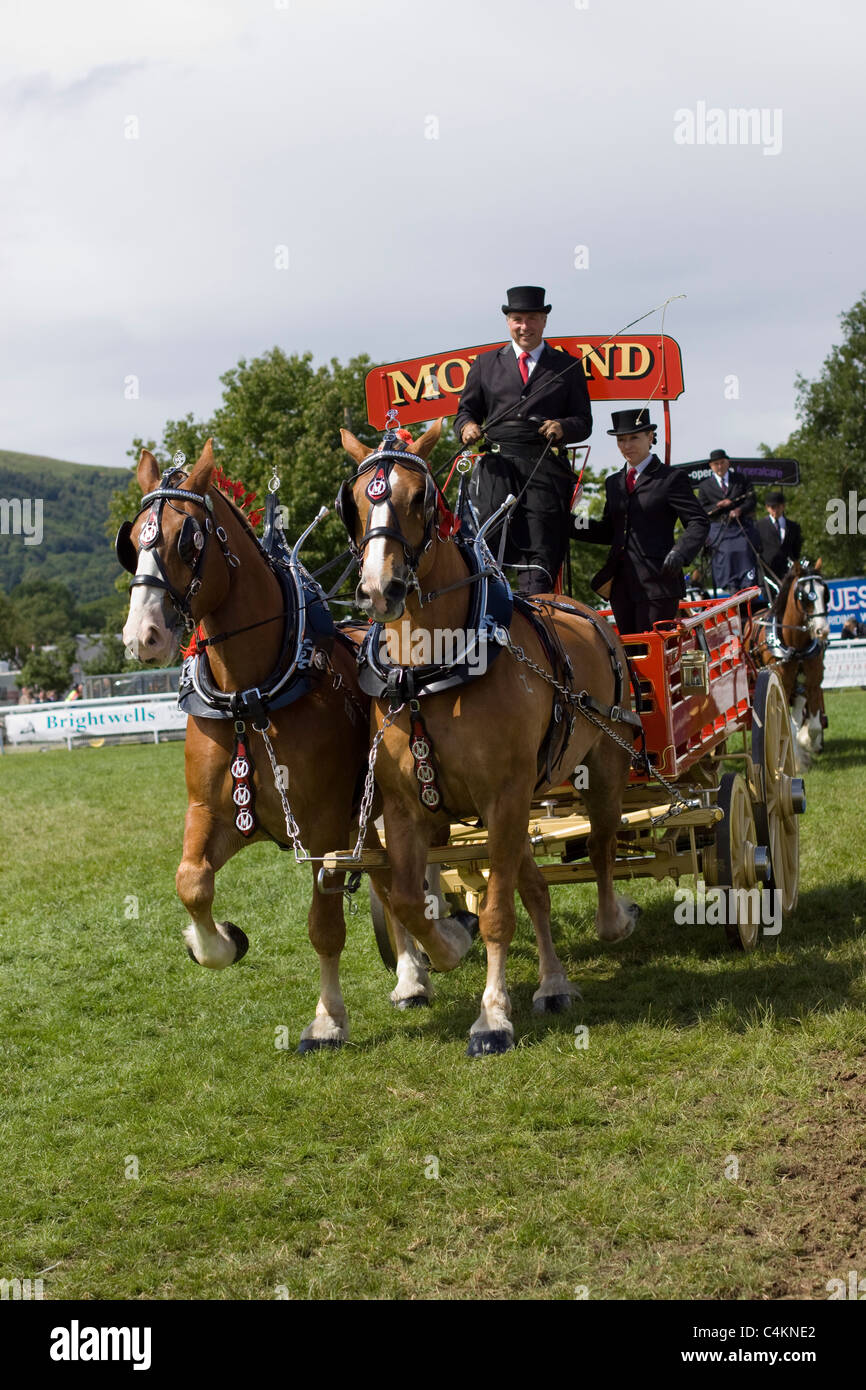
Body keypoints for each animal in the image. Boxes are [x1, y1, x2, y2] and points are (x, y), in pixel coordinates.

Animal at [118, 439, 408, 1045]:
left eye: (189, 538)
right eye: (132, 542)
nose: (142, 637)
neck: (250, 696)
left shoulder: (323, 827)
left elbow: (325, 927)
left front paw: (327, 1018)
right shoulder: (213, 813)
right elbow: (191, 882)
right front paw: (217, 942)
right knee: (389, 877)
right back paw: (414, 974)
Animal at [339, 419, 636, 1050]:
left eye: (417, 498)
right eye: (355, 502)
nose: (379, 589)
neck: (430, 672)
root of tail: (576, 603)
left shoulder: (503, 795)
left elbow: (500, 911)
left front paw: (493, 1015)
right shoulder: (405, 807)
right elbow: (408, 898)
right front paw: (446, 948)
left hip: (602, 763)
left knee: (601, 844)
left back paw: (612, 921)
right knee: (536, 885)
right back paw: (553, 984)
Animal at [750, 558, 834, 756]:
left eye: (825, 593)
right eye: (804, 596)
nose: (822, 630)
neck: (797, 647)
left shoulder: (812, 684)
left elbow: (814, 726)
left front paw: (807, 744)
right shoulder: (782, 685)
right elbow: (786, 727)